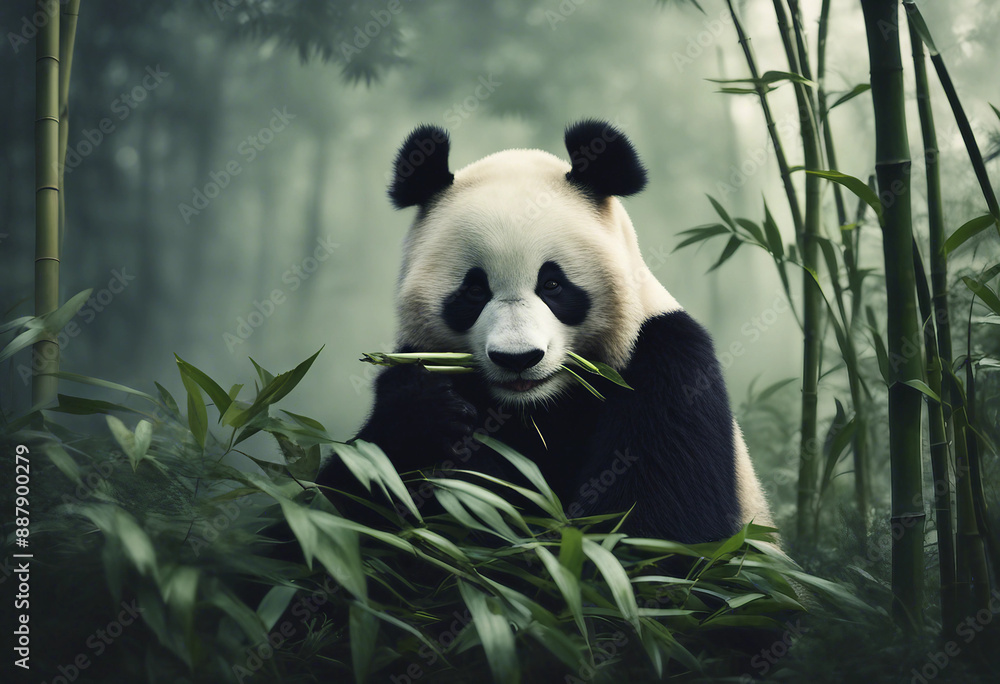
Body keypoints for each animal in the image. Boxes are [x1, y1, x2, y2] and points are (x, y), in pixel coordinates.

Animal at [319, 120, 773, 544]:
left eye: (552, 284)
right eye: (474, 289)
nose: (518, 358)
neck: (537, 406)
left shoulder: (668, 365)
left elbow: (647, 526)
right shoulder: (414, 357)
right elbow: (350, 498)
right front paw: (428, 416)